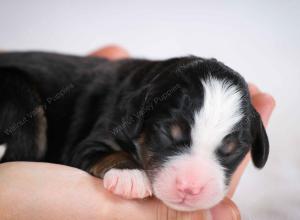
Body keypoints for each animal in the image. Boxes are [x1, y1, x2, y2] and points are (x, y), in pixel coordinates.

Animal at [0, 51, 268, 210]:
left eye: (231, 150)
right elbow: (109, 153)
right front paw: (130, 176)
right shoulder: (93, 139)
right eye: (168, 133)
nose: (190, 188)